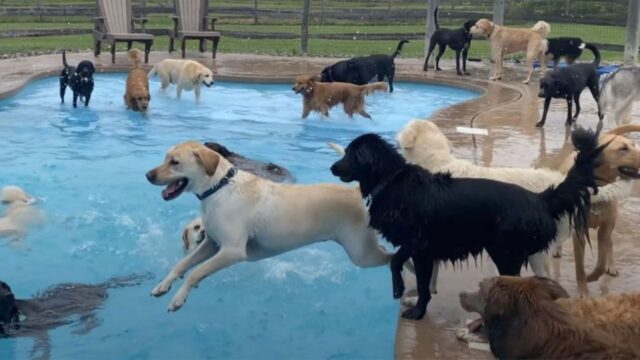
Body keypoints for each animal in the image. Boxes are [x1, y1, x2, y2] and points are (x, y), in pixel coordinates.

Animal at [0, 274, 151, 358]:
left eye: (6, 287)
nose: (9, 295)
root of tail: (98, 286)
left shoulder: (40, 331)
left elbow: (44, 347)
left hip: (88, 307)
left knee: (90, 319)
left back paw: (82, 329)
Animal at [146, 141, 390, 312]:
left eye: (174, 162)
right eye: (165, 158)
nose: (148, 175)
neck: (220, 188)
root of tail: (356, 192)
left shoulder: (232, 251)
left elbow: (195, 273)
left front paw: (179, 298)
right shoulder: (212, 244)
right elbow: (182, 264)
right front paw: (164, 285)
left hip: (362, 255)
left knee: (389, 257)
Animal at [332, 128, 604, 320]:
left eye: (349, 154)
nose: (332, 167)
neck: (392, 180)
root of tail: (540, 198)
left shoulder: (419, 244)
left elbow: (402, 266)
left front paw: (411, 304)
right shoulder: (426, 250)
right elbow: (420, 279)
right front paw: (416, 300)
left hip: (506, 253)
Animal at [556, 124, 640, 296]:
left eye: (633, 145)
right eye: (623, 148)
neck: (597, 191)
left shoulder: (605, 229)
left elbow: (600, 263)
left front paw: (591, 277)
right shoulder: (579, 233)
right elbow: (579, 267)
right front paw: (583, 291)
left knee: (610, 245)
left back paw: (611, 265)